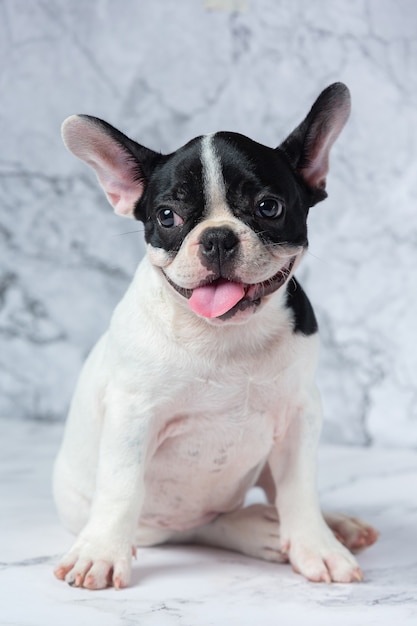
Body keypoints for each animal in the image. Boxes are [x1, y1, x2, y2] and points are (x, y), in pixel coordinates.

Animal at [52, 84, 376, 588]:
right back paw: (256, 529)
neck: (224, 334)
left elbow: (299, 485)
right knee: (196, 524)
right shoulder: (132, 416)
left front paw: (317, 546)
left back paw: (331, 524)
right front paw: (100, 553)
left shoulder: (300, 413)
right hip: (154, 523)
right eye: (167, 216)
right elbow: (122, 486)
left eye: (269, 207)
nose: (218, 237)